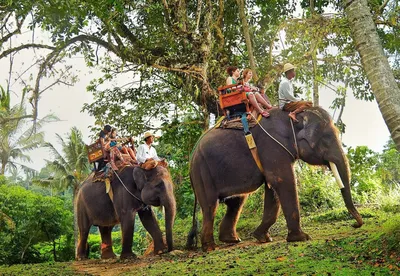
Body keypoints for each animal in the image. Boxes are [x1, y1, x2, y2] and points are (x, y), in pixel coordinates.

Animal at [187, 106, 362, 251]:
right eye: (326, 138)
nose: (355, 224)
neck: (291, 118)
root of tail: (192, 155)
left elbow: (272, 188)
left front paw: (262, 238)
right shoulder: (272, 146)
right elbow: (282, 181)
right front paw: (302, 238)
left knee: (236, 201)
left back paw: (232, 240)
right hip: (202, 171)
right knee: (210, 206)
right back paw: (210, 247)